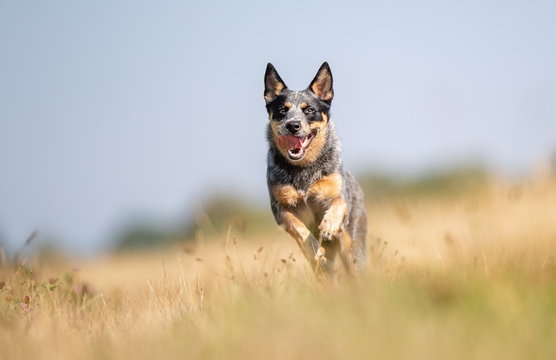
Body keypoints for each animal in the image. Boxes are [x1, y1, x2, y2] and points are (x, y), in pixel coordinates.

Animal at [264, 62, 368, 276]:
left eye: (309, 109)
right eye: (282, 110)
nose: (293, 125)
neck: (304, 169)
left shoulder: (338, 195)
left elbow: (339, 201)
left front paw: (328, 225)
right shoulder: (280, 208)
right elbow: (297, 226)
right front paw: (314, 248)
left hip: (353, 251)